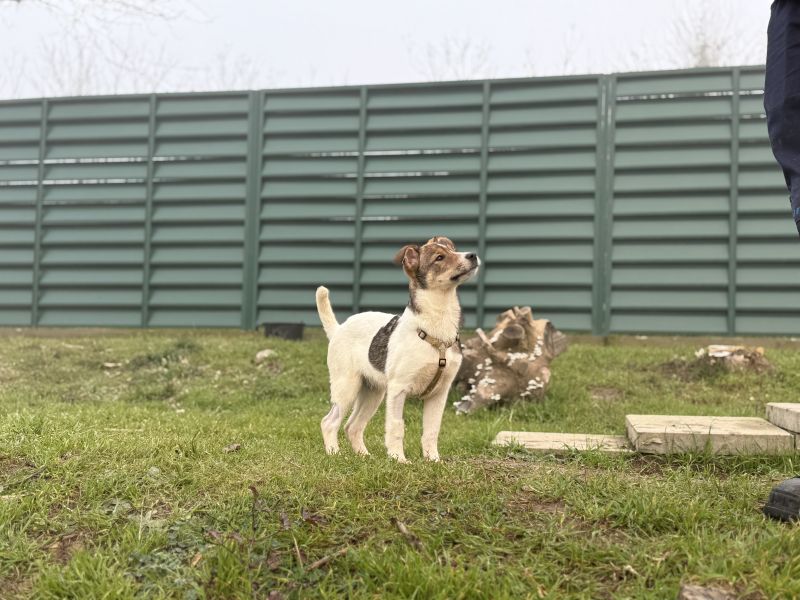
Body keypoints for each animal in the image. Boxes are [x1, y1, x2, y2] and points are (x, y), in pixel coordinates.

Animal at [316, 236, 480, 462]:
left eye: (453, 250)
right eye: (439, 257)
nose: (473, 255)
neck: (436, 324)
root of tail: (338, 329)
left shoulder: (439, 394)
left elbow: (432, 430)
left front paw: (433, 460)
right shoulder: (398, 390)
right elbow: (396, 427)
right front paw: (398, 459)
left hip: (373, 392)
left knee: (352, 426)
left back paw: (364, 456)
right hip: (347, 387)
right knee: (329, 422)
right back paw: (334, 453)